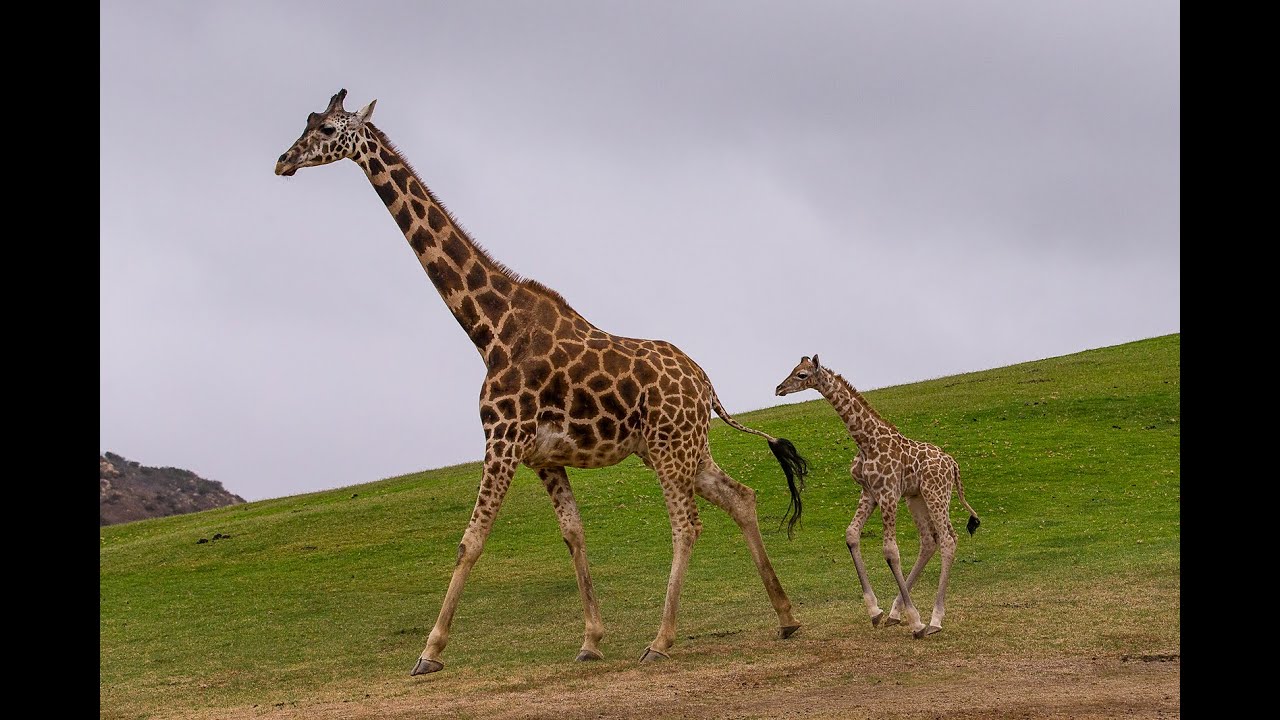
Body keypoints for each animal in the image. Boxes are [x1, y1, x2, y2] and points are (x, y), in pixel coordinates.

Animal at [275, 89, 803, 671]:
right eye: (307, 121)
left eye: (326, 129)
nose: (283, 162)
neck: (489, 330)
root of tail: (706, 385)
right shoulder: (543, 457)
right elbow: (573, 534)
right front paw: (591, 640)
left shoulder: (501, 439)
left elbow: (471, 540)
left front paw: (430, 651)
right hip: (678, 446)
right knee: (741, 497)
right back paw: (786, 617)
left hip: (670, 446)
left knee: (687, 524)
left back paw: (661, 640)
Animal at [768, 353, 977, 632]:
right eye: (793, 369)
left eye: (802, 374)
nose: (779, 388)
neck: (866, 441)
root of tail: (953, 464)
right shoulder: (869, 492)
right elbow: (851, 534)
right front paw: (875, 610)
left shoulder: (887, 493)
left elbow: (890, 551)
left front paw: (915, 621)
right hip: (917, 498)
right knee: (929, 541)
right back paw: (895, 613)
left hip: (936, 493)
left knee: (947, 540)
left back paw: (934, 619)